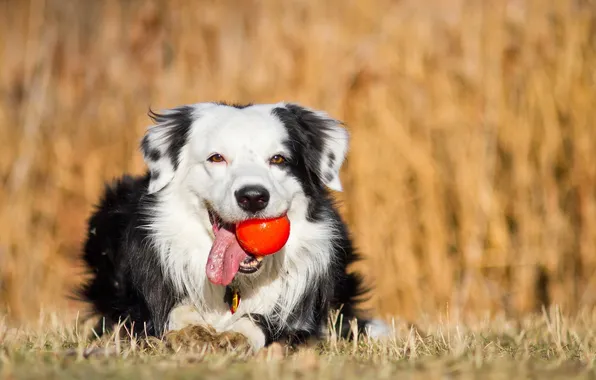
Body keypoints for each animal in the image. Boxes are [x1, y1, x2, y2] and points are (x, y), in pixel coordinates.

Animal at [78, 101, 386, 354]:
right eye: (216, 158)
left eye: (278, 159)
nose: (253, 197)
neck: (237, 282)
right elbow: (173, 310)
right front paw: (191, 330)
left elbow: (266, 321)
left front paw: (238, 334)